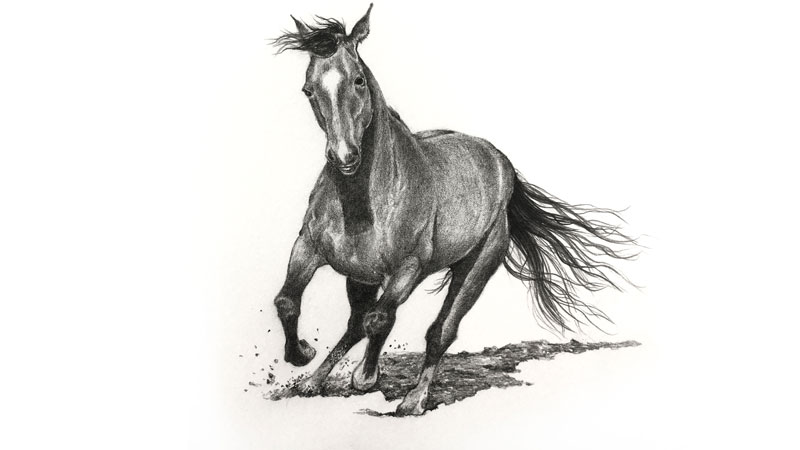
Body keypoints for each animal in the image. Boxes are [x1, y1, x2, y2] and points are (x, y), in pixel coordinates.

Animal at [271, 4, 637, 416]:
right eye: (309, 89)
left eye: (359, 81)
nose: (344, 156)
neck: (365, 197)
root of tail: (501, 163)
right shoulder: (309, 248)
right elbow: (288, 301)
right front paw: (302, 355)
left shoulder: (408, 269)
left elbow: (380, 319)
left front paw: (365, 377)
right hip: (361, 278)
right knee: (354, 323)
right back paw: (311, 381)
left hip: (475, 268)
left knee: (438, 331)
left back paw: (414, 399)